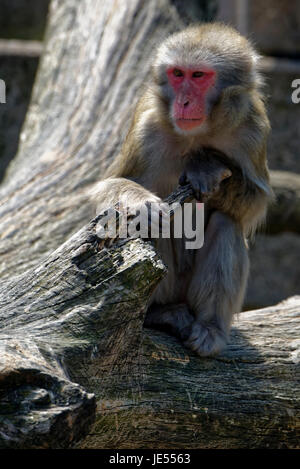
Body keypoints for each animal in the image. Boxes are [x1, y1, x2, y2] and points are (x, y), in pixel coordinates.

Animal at [92, 22, 274, 354]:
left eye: (198, 76)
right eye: (178, 74)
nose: (183, 101)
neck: (199, 132)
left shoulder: (253, 128)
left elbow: (255, 202)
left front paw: (206, 164)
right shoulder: (146, 128)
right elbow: (109, 187)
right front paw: (143, 203)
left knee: (226, 222)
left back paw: (209, 327)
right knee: (155, 227)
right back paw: (159, 314)